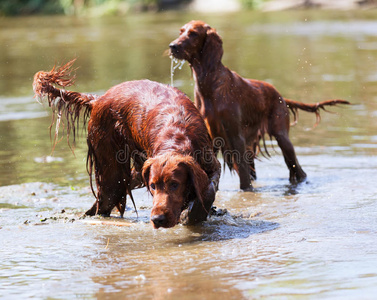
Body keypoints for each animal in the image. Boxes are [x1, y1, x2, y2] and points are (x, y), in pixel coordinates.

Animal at [33, 58, 220, 229]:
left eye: (174, 184)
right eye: (153, 186)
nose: (157, 220)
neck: (177, 135)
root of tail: (98, 99)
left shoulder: (212, 164)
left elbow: (208, 189)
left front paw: (194, 213)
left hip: (130, 172)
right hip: (112, 172)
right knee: (104, 202)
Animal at [169, 20, 348, 190]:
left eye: (193, 33)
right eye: (180, 31)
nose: (172, 46)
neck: (209, 84)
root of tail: (280, 96)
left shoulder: (235, 137)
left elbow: (243, 176)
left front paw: (246, 191)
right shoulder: (211, 137)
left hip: (283, 138)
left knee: (297, 169)